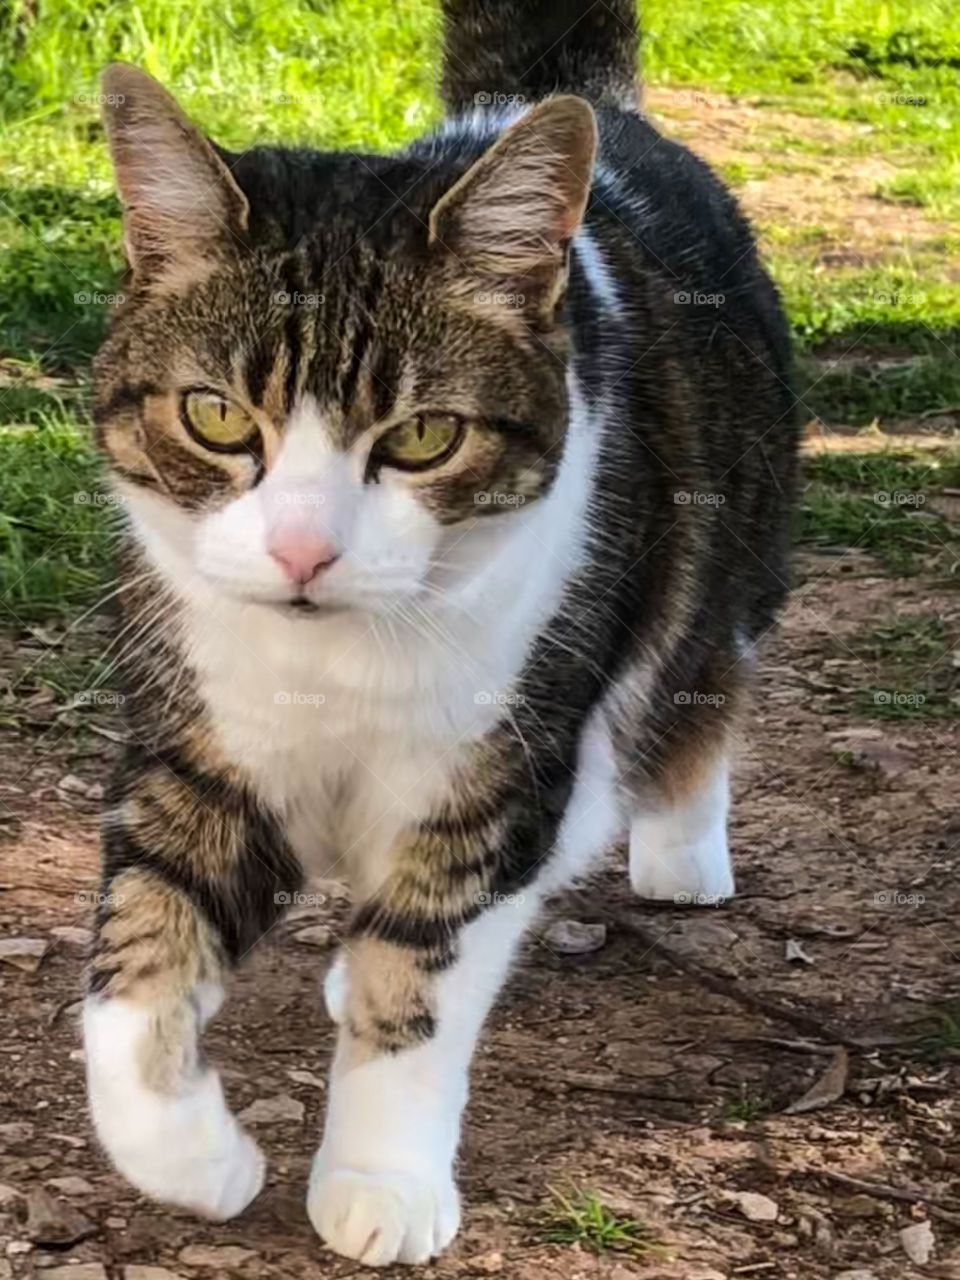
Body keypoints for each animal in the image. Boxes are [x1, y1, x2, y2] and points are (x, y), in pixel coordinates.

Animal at [82, 0, 798, 1259]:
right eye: (215, 416)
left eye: (423, 437)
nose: (303, 550)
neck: (328, 659)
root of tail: (584, 105)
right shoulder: (197, 740)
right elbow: (140, 951)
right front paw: (194, 1157)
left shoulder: (498, 771)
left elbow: (420, 978)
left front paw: (382, 1176)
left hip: (721, 544)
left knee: (700, 675)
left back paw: (680, 846)